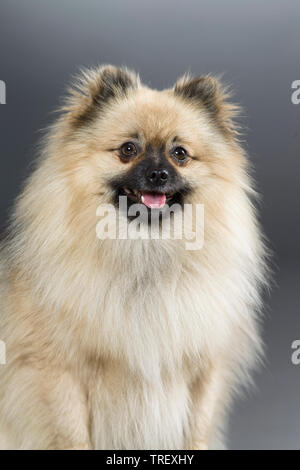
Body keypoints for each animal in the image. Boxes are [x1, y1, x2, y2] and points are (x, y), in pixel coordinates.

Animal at [0, 64, 268, 450]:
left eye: (180, 153)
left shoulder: (205, 370)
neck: (144, 249)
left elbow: (197, 430)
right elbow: (70, 435)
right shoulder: (57, 371)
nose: (158, 173)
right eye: (128, 149)